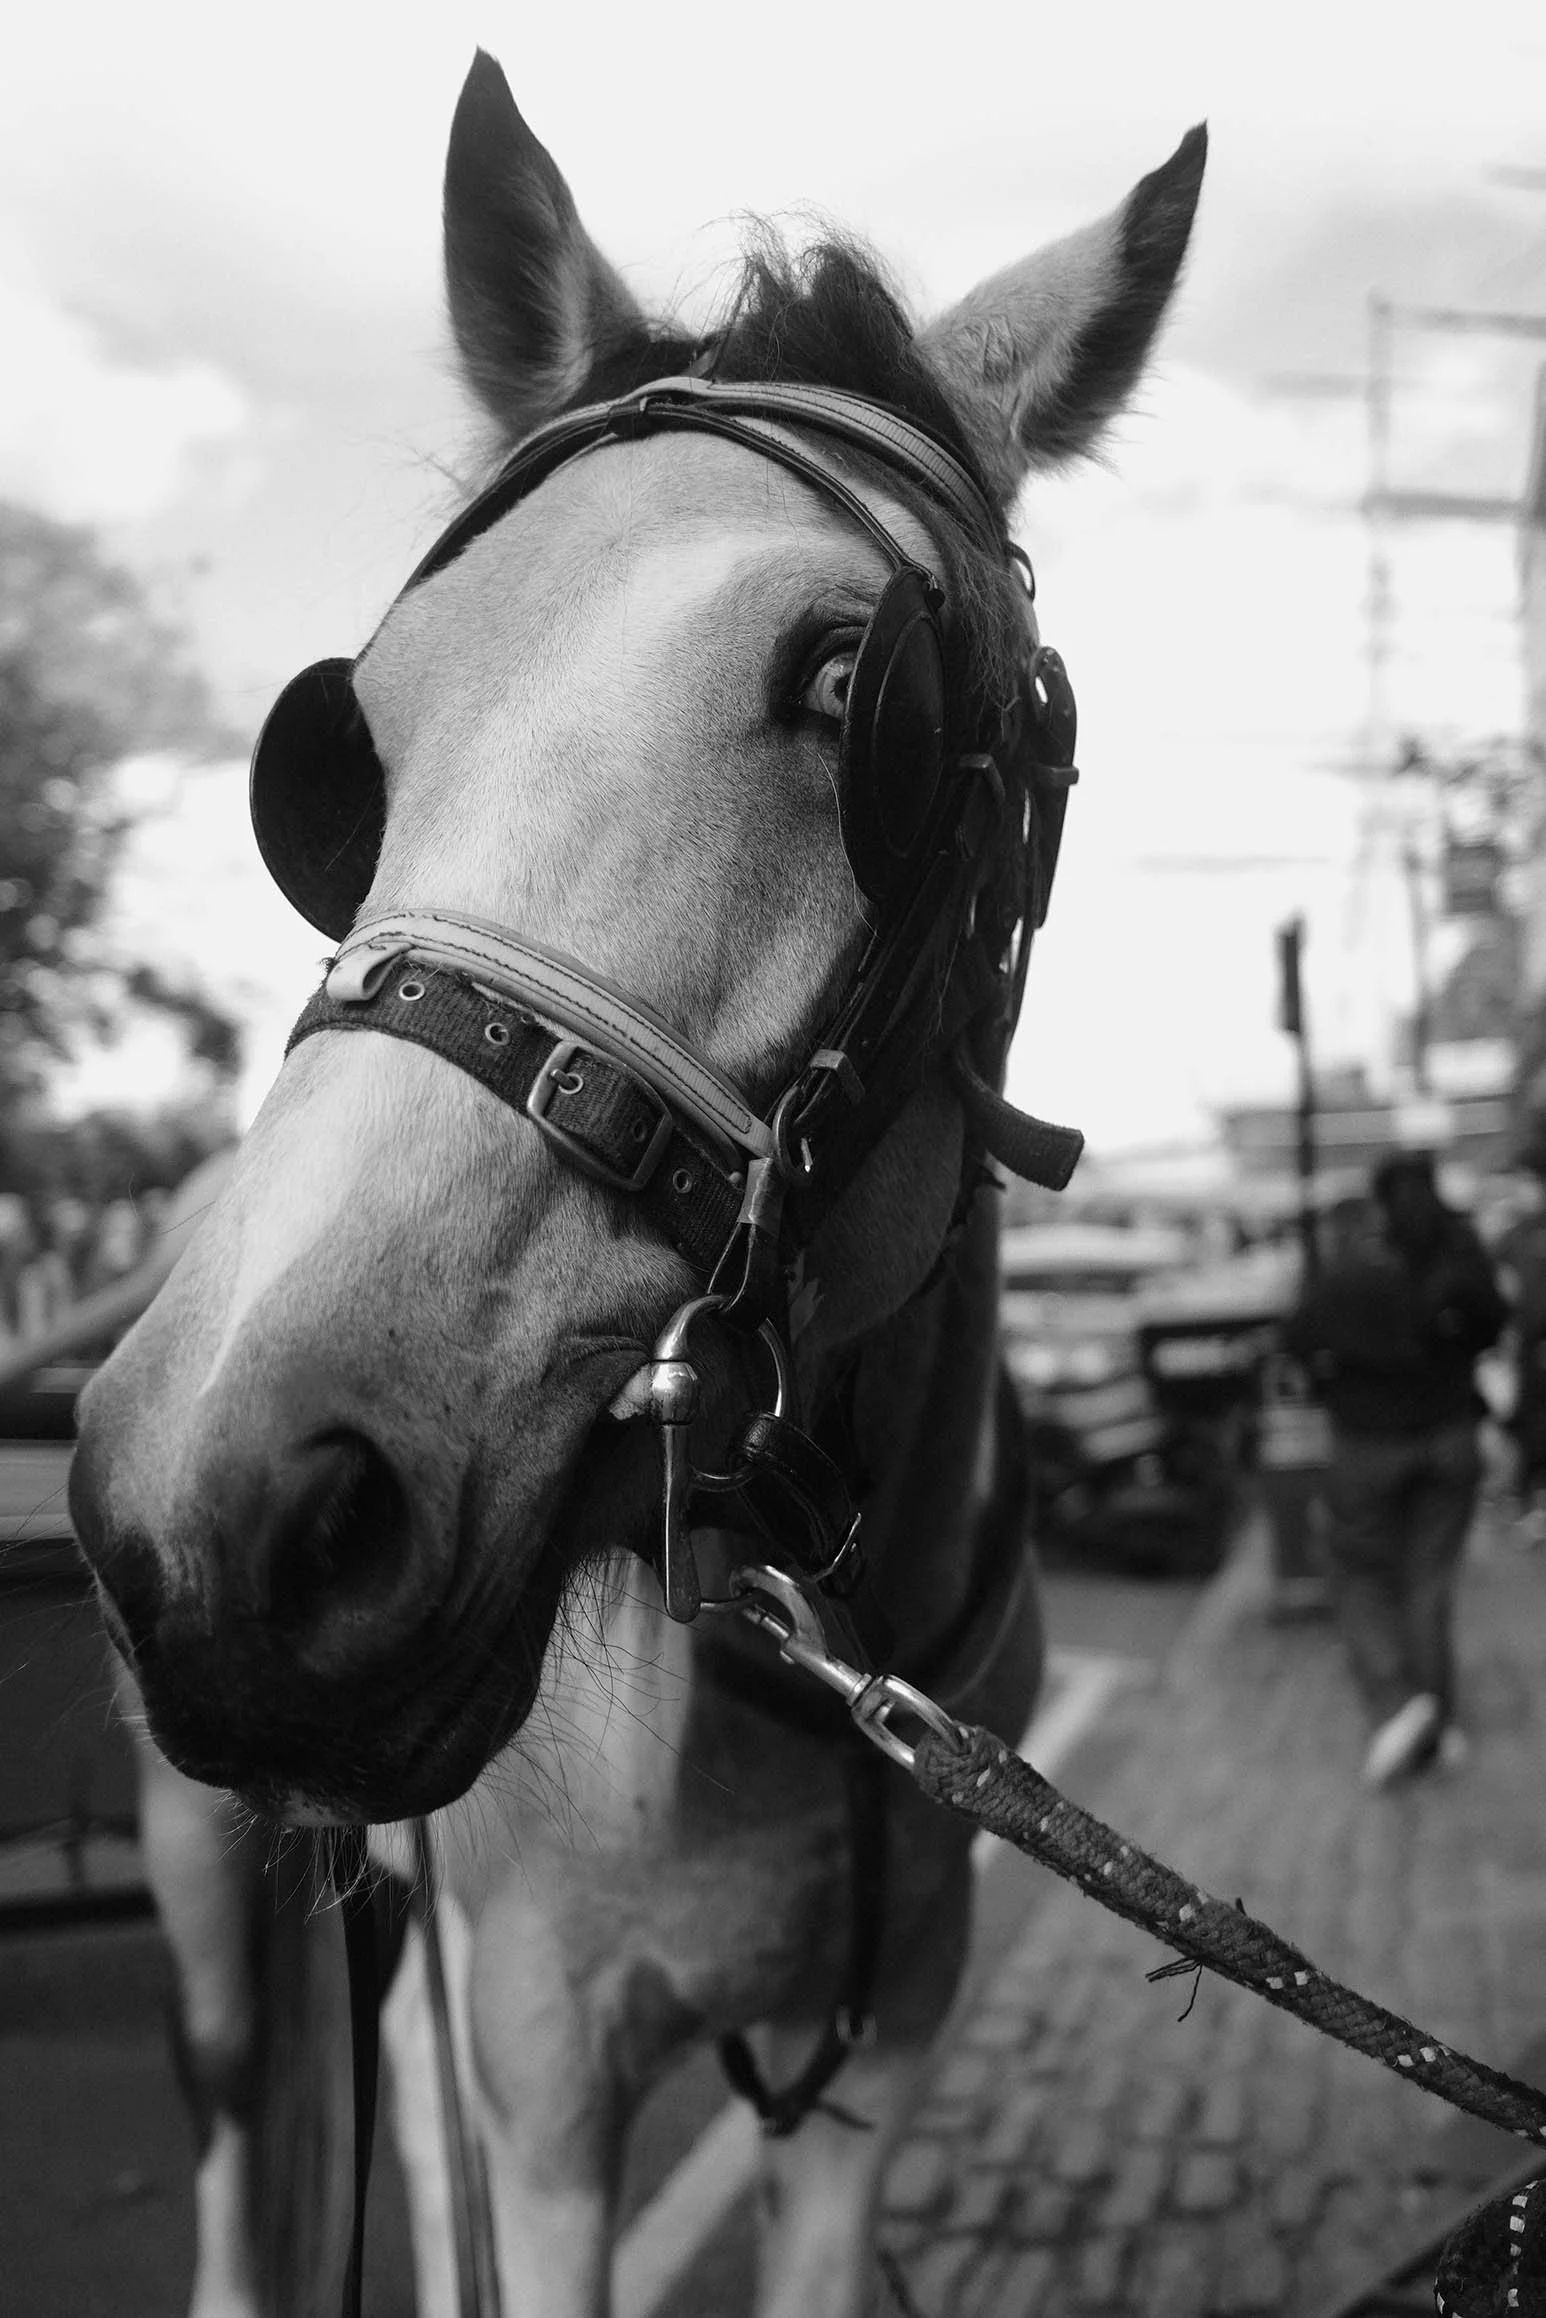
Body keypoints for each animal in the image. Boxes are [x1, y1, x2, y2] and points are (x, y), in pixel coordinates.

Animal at [68, 52, 1204, 2318]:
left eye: (862, 689)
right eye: (354, 742)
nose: (223, 1505)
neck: (794, 1654)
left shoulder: (885, 2041)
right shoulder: (543, 2073)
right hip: (221, 1881)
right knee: (259, 2140)